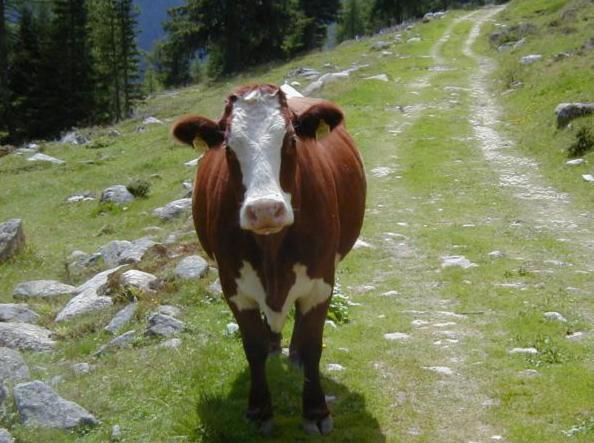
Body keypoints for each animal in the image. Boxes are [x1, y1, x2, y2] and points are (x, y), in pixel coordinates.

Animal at [171, 84, 366, 438]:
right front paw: (259, 410)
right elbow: (254, 348)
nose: (263, 210)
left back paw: (295, 355)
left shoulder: (321, 282)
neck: (272, 248)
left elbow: (314, 344)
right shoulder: (234, 286)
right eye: (228, 147)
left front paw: (315, 410)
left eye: (290, 141)